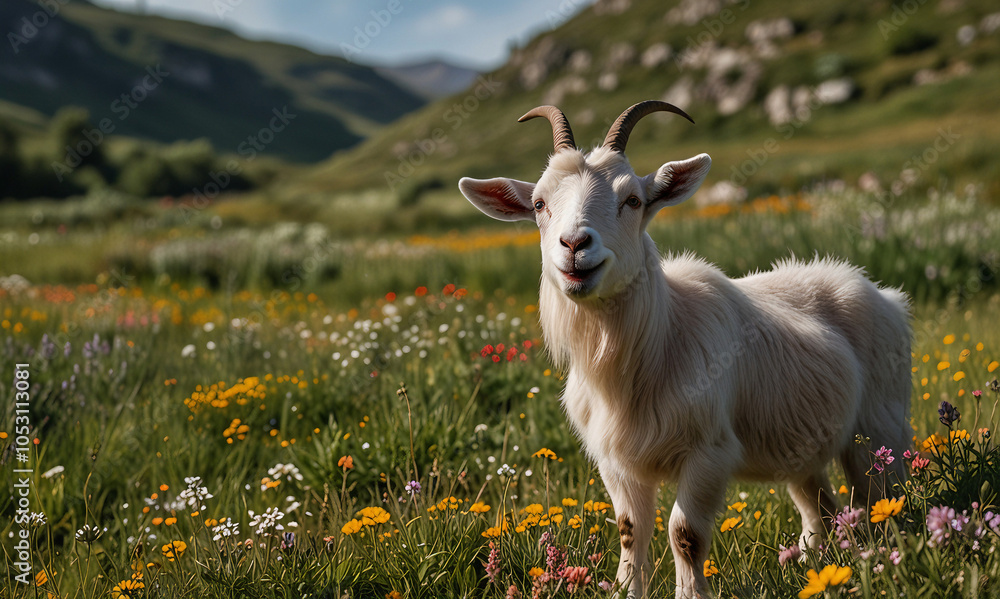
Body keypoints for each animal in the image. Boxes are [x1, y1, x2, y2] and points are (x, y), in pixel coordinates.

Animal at [458, 101, 911, 598]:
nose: (575, 245)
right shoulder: (616, 461)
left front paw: (690, 592)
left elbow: (684, 533)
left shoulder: (709, 451)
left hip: (880, 426)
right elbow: (629, 528)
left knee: (883, 498)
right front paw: (626, 589)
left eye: (633, 200)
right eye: (539, 204)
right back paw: (814, 565)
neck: (652, 348)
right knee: (820, 508)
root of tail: (881, 292)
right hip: (802, 445)